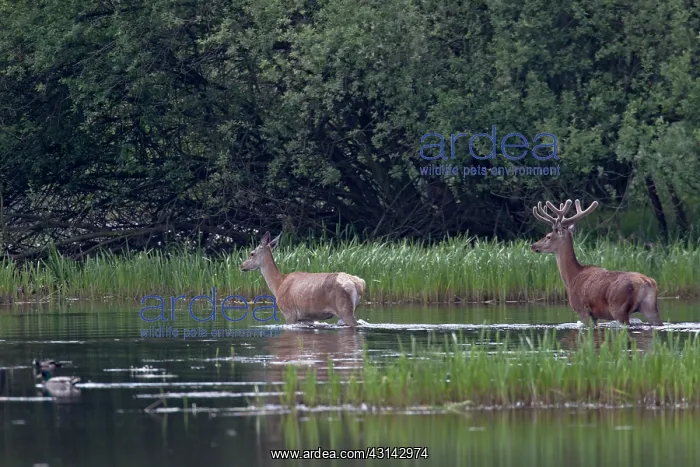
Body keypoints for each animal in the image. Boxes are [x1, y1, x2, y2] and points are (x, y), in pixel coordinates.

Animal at [530, 199, 663, 327]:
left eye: (548, 236)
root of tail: (646, 282)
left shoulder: (582, 310)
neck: (572, 277)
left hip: (619, 307)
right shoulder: (594, 315)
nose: (533, 245)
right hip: (650, 307)